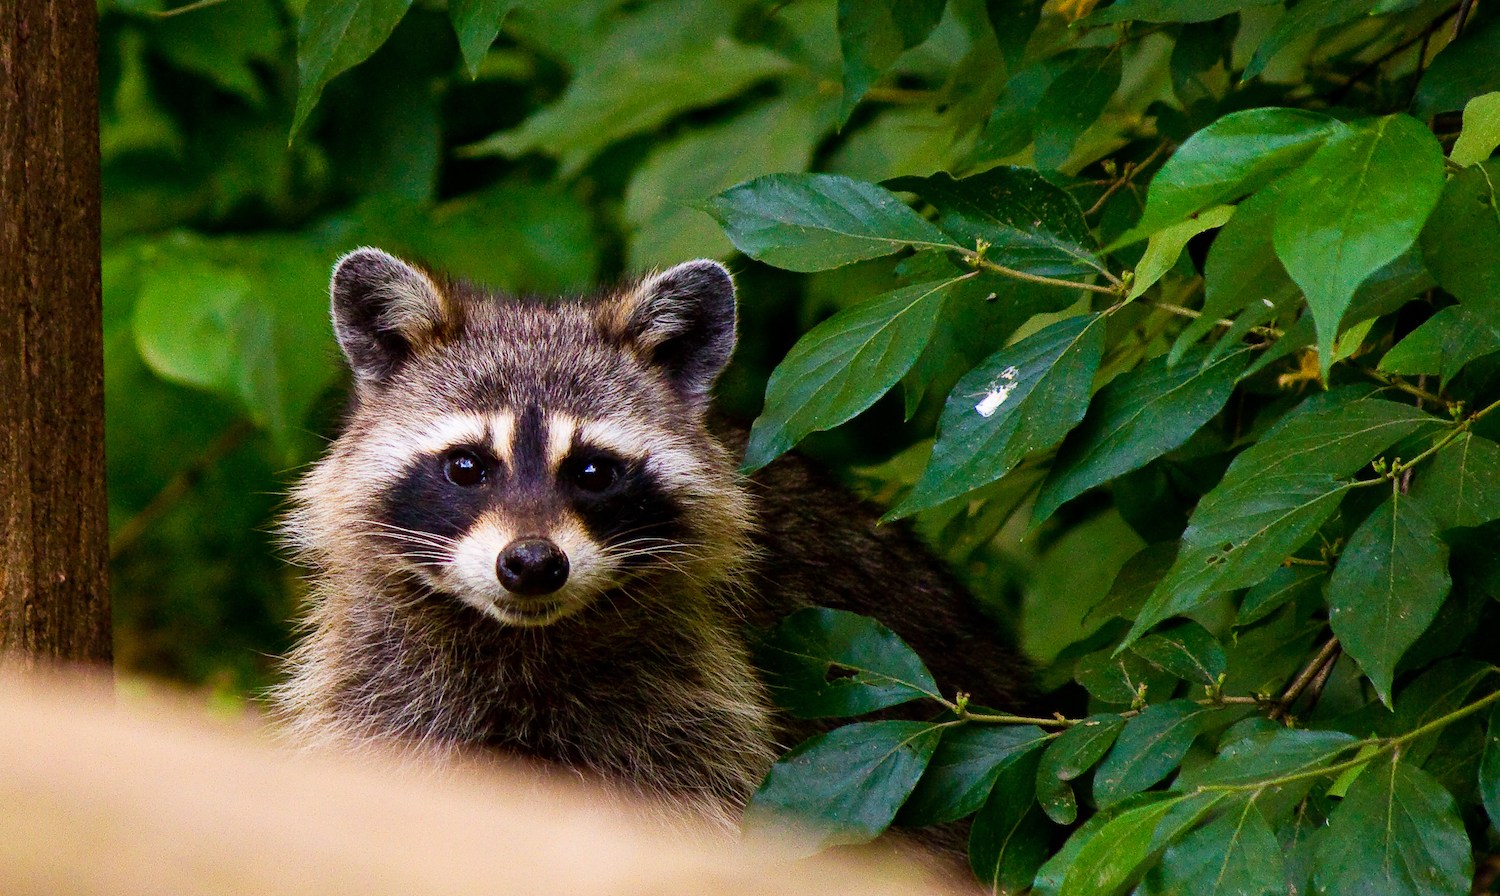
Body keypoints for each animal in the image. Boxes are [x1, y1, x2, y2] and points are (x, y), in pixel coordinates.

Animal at [277, 248, 1029, 829]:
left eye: (592, 471)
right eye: (466, 467)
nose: (532, 564)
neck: (525, 639)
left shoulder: (689, 696)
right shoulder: (384, 681)